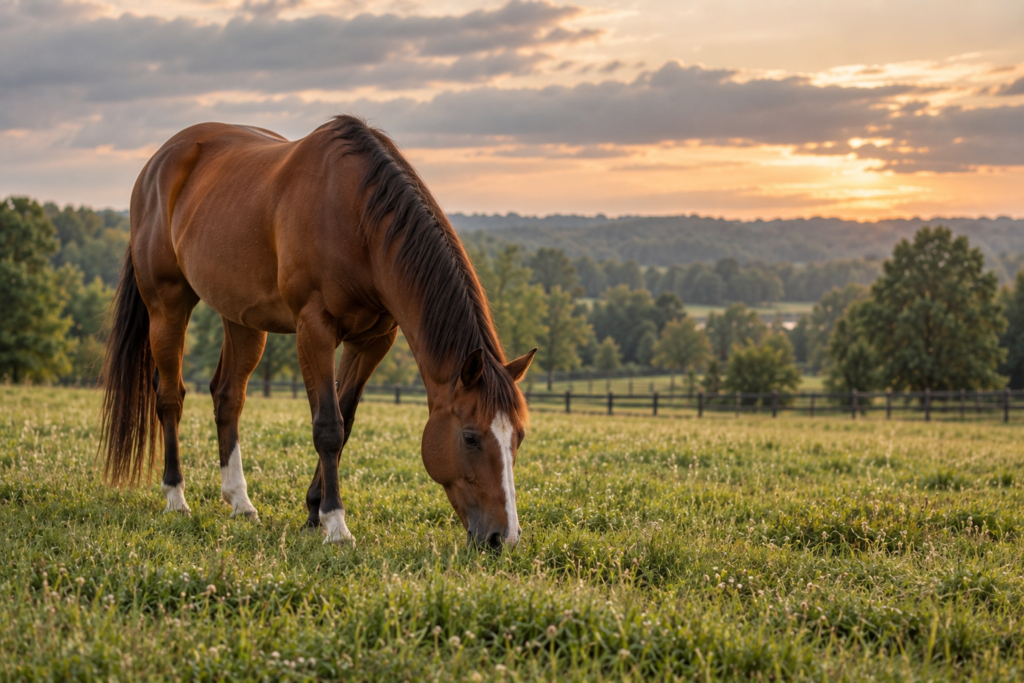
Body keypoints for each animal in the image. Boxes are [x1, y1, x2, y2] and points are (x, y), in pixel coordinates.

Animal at [101, 115, 535, 549]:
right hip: (167, 306)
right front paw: (335, 524)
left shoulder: (372, 342)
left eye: (518, 437)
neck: (358, 219)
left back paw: (240, 502)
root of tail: (157, 163)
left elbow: (345, 421)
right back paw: (176, 497)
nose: (504, 537)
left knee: (228, 398)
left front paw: (313, 512)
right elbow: (328, 425)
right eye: (470, 437)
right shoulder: (314, 330)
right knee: (170, 398)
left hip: (242, 319)